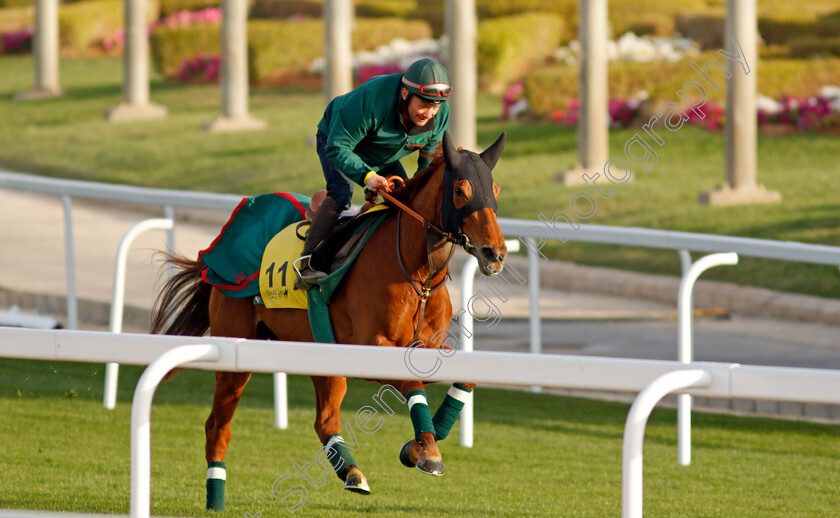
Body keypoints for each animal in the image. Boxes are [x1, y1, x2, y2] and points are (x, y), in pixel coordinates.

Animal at [148, 132, 508, 512]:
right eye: (460, 190)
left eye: (495, 189)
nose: (495, 253)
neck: (418, 273)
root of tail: (214, 254)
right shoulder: (370, 349)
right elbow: (413, 385)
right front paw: (426, 451)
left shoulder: (426, 345)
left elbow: (465, 378)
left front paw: (420, 444)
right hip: (235, 350)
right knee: (217, 425)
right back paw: (215, 496)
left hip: (320, 350)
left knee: (324, 420)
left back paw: (351, 471)